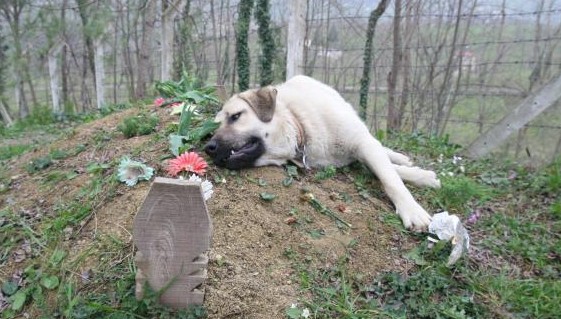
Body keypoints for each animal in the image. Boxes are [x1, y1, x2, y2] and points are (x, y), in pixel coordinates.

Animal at [203, 75, 440, 230]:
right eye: (214, 128)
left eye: (236, 116)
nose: (208, 148)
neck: (300, 125)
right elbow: (387, 171)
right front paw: (422, 177)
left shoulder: (362, 144)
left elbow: (390, 178)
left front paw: (412, 208)